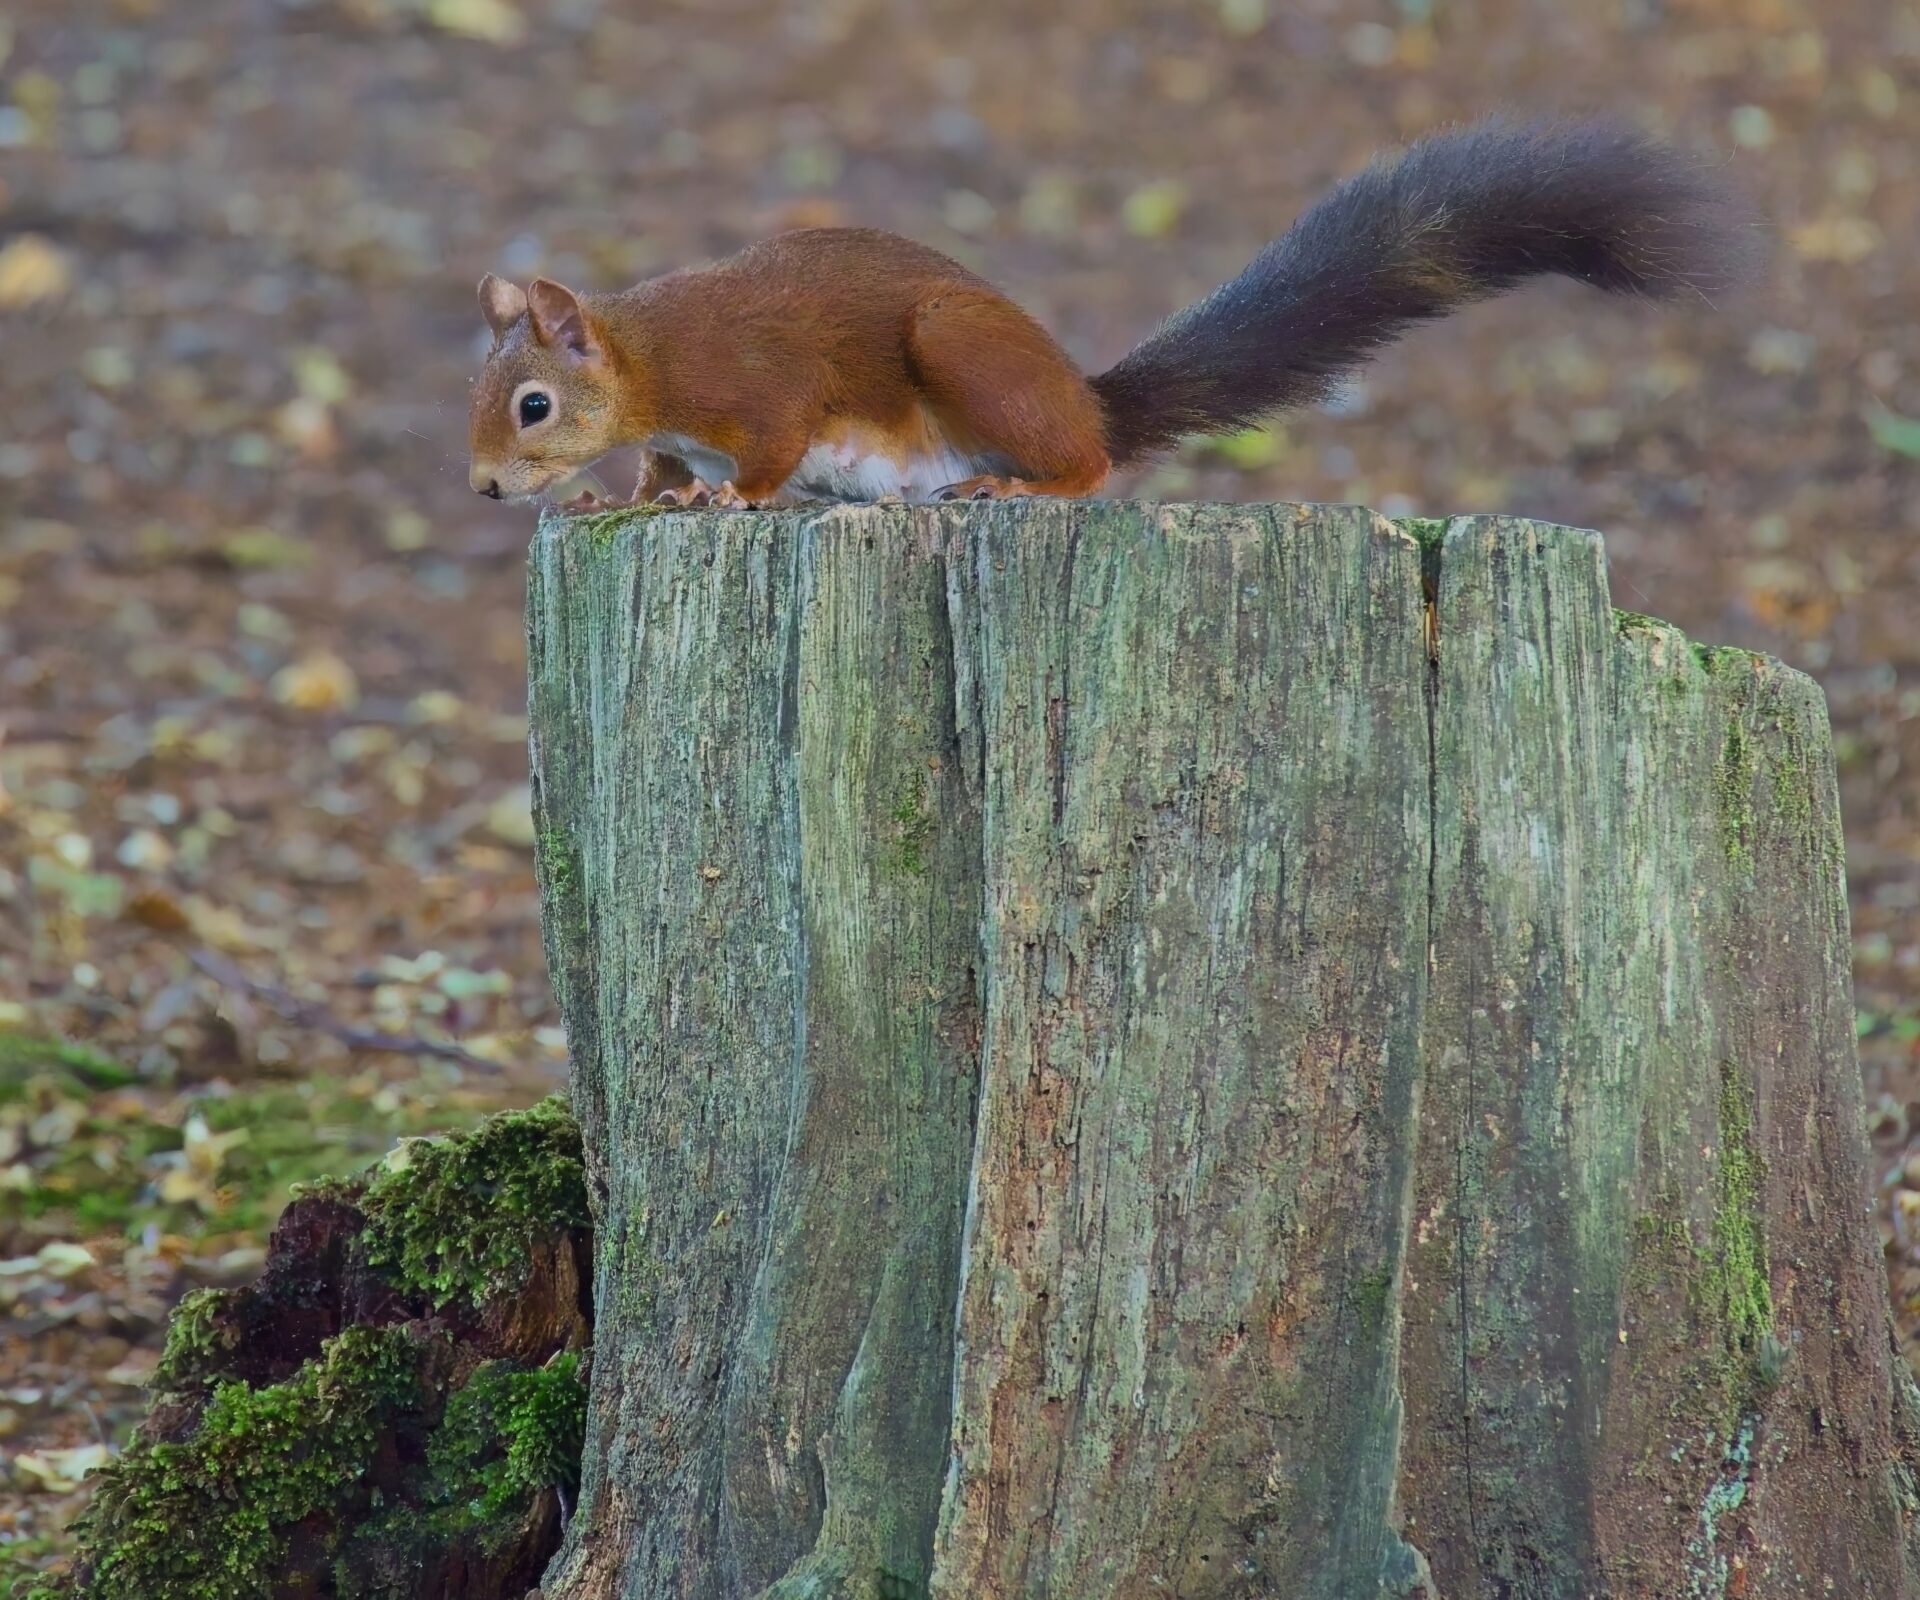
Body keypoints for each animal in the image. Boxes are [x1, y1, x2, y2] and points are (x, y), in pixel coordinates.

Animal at [467, 118, 1755, 511]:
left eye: (532, 405)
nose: (482, 487)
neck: (646, 358)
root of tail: (1084, 396)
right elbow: (657, 470)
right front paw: (632, 495)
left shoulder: (757, 379)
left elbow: (773, 444)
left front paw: (730, 500)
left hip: (965, 356)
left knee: (1087, 468)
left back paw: (1028, 487)